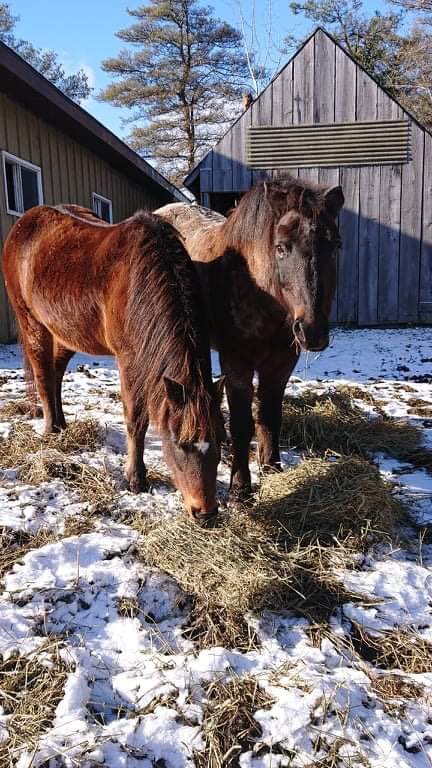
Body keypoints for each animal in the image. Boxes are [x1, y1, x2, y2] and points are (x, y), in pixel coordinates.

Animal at [2, 204, 225, 521]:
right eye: (180, 443)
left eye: (220, 439)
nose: (205, 513)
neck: (138, 280)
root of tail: (24, 224)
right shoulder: (129, 361)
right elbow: (135, 420)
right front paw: (136, 479)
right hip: (32, 323)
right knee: (44, 375)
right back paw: (50, 430)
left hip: (68, 332)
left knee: (56, 373)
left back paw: (61, 424)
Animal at [156, 175, 344, 500]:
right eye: (281, 248)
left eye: (335, 245)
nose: (312, 331)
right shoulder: (237, 363)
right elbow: (243, 424)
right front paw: (240, 488)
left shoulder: (280, 365)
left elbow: (269, 416)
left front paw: (272, 469)